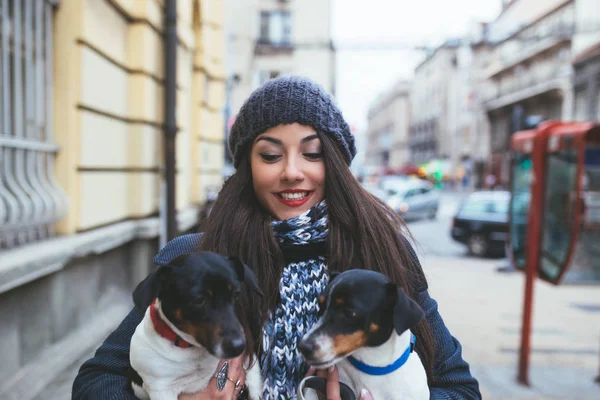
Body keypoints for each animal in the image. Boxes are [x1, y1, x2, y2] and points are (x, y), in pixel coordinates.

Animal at [129, 253, 262, 400]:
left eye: (237, 294)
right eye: (199, 299)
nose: (238, 347)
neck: (193, 349)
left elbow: (253, 365)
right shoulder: (161, 388)